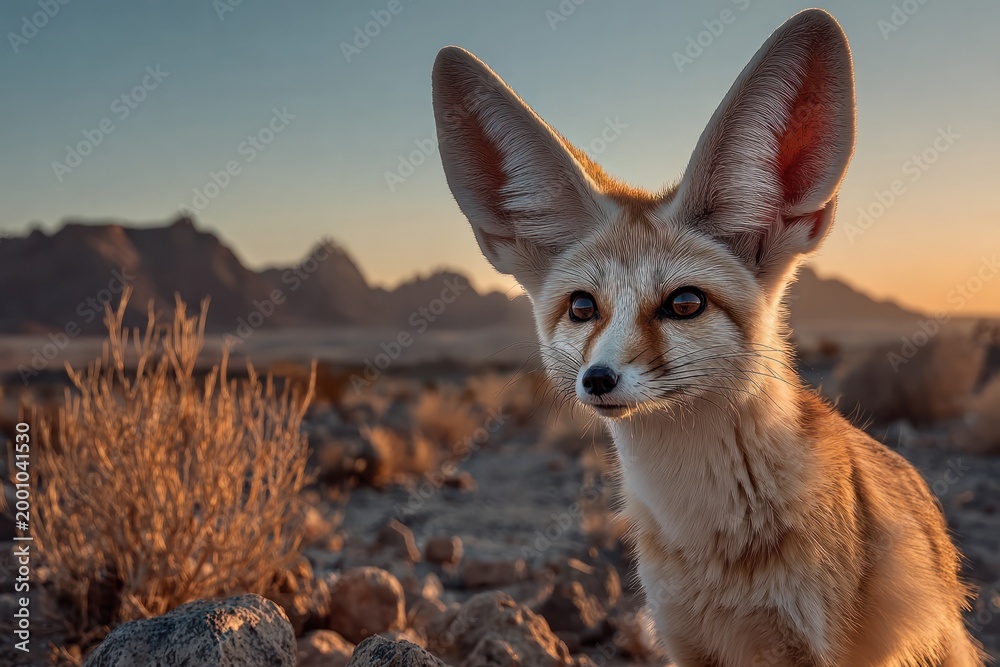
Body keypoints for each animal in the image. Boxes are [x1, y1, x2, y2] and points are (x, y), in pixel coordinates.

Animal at [431, 8, 985, 667]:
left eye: (685, 304)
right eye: (583, 307)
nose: (599, 378)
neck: (710, 541)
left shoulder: (807, 644)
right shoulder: (683, 637)